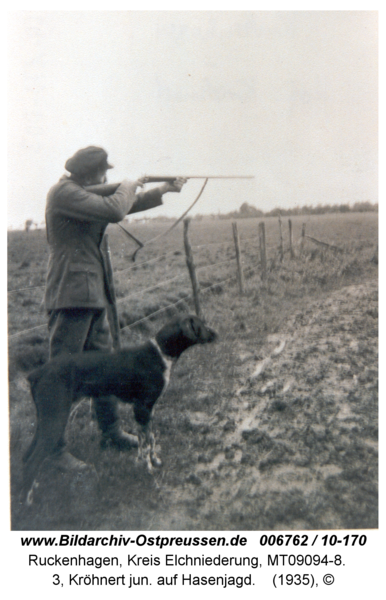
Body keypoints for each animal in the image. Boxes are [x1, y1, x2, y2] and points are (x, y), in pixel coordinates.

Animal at [23, 314, 217, 502]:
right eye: (201, 324)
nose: (216, 333)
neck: (159, 354)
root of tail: (36, 373)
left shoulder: (147, 410)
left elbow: (148, 438)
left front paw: (151, 460)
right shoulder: (142, 409)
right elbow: (146, 444)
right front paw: (148, 469)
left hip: (45, 418)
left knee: (27, 457)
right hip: (56, 418)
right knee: (32, 461)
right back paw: (28, 500)